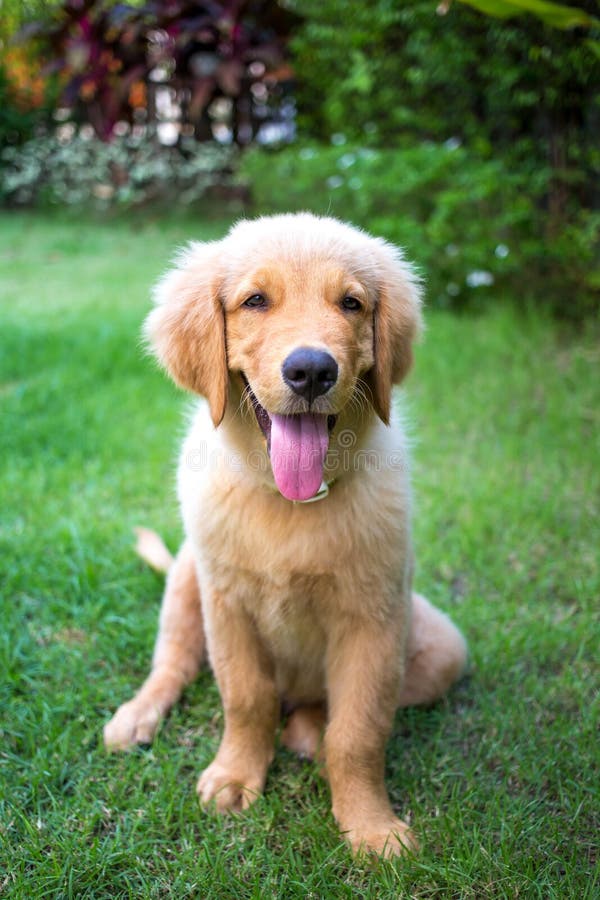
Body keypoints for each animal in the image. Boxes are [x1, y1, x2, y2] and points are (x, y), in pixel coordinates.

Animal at [104, 211, 468, 856]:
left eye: (351, 303)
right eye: (255, 301)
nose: (311, 370)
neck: (290, 503)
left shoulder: (374, 620)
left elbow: (359, 731)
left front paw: (370, 827)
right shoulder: (226, 605)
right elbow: (246, 697)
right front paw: (234, 777)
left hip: (444, 645)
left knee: (327, 707)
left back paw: (306, 729)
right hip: (187, 577)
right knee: (172, 664)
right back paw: (136, 717)